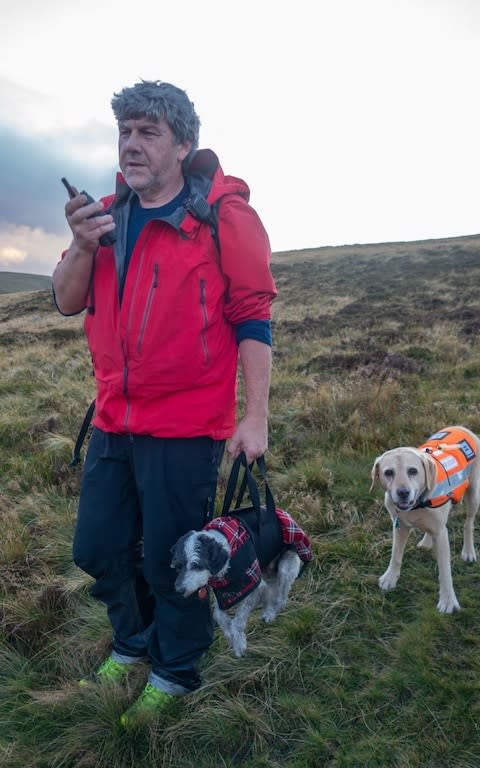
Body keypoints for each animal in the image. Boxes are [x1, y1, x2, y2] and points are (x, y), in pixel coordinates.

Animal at [171, 508, 314, 656]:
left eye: (196, 565)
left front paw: (239, 643)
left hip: (285, 568)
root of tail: (285, 513)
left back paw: (270, 613)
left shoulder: (254, 588)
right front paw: (230, 635)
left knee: (281, 598)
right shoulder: (221, 593)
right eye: (178, 566)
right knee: (271, 592)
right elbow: (218, 615)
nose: (179, 590)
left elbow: (238, 621)